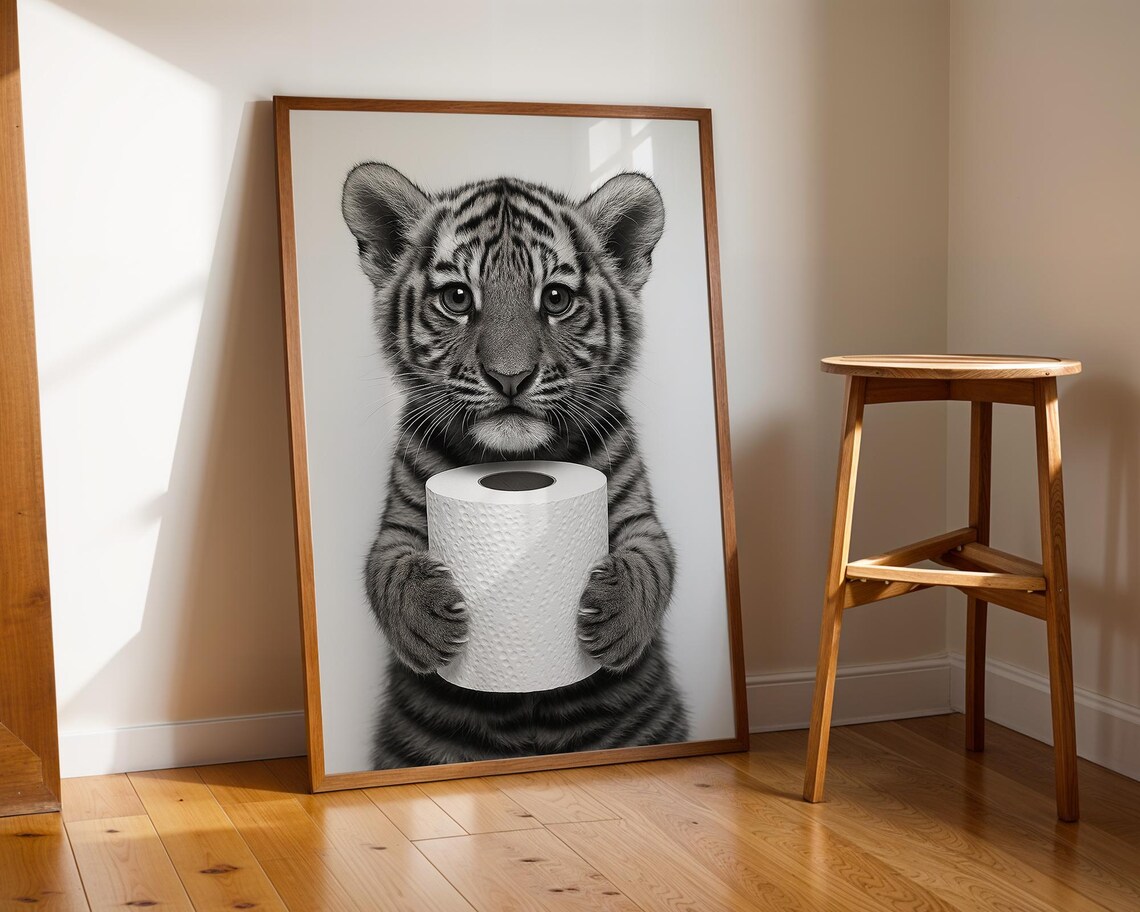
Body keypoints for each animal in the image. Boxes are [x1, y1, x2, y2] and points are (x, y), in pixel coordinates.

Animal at [341, 161, 689, 769]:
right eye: (458, 297)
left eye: (556, 298)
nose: (510, 378)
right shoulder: (401, 518)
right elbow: (386, 570)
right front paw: (427, 622)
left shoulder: (635, 510)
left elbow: (652, 562)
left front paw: (616, 618)